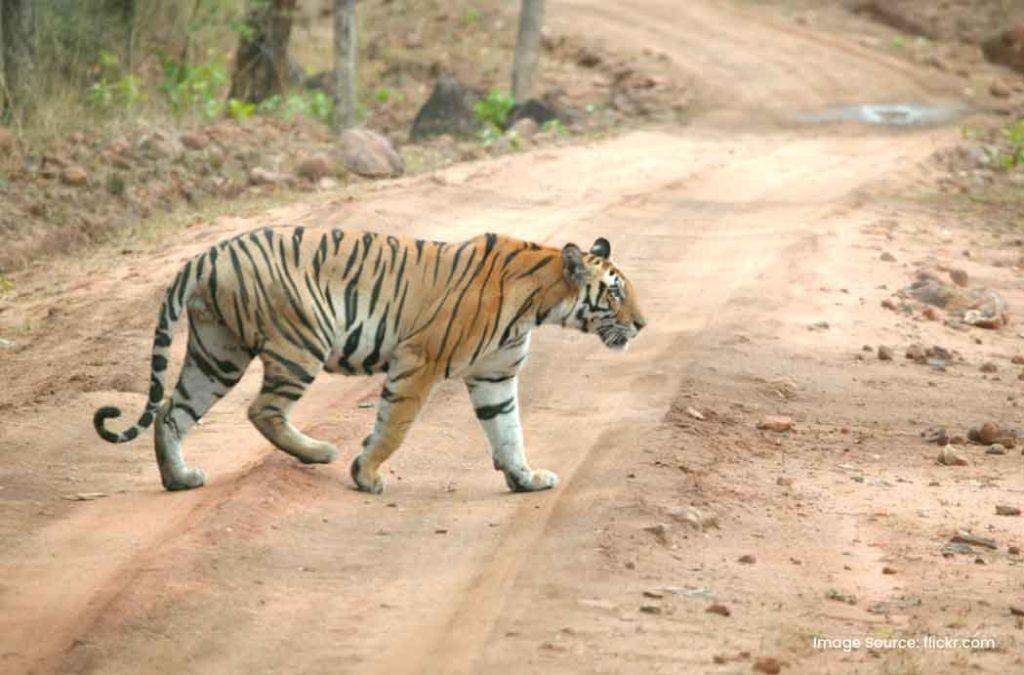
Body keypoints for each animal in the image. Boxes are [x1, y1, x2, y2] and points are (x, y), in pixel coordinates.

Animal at [92, 225, 643, 491]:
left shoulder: (496, 377)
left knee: (172, 412)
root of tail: (205, 255)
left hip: (216, 352)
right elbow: (394, 426)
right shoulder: (418, 361)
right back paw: (319, 453)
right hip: (301, 341)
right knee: (261, 409)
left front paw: (525, 479)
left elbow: (508, 432)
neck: (541, 303)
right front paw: (366, 474)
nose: (642, 325)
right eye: (615, 293)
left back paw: (179, 479)